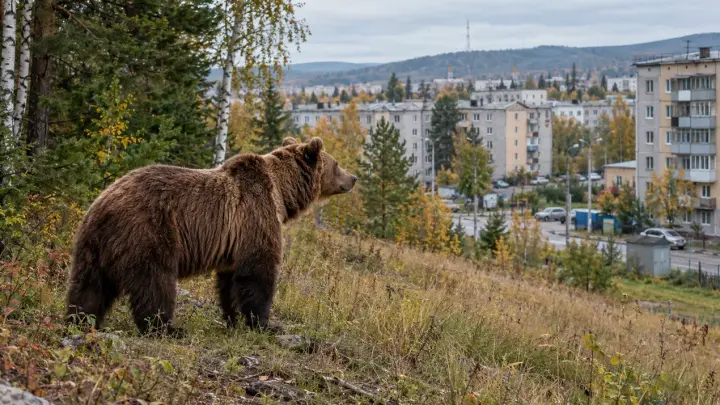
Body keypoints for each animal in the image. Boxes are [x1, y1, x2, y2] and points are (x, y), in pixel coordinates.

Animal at [65, 136, 356, 337]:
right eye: (337, 164)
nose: (353, 177)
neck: (281, 193)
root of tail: (105, 204)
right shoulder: (255, 216)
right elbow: (258, 271)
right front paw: (264, 324)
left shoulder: (233, 242)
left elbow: (230, 281)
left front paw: (233, 318)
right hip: (149, 231)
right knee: (154, 282)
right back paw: (167, 329)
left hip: (92, 245)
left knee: (88, 286)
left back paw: (80, 320)